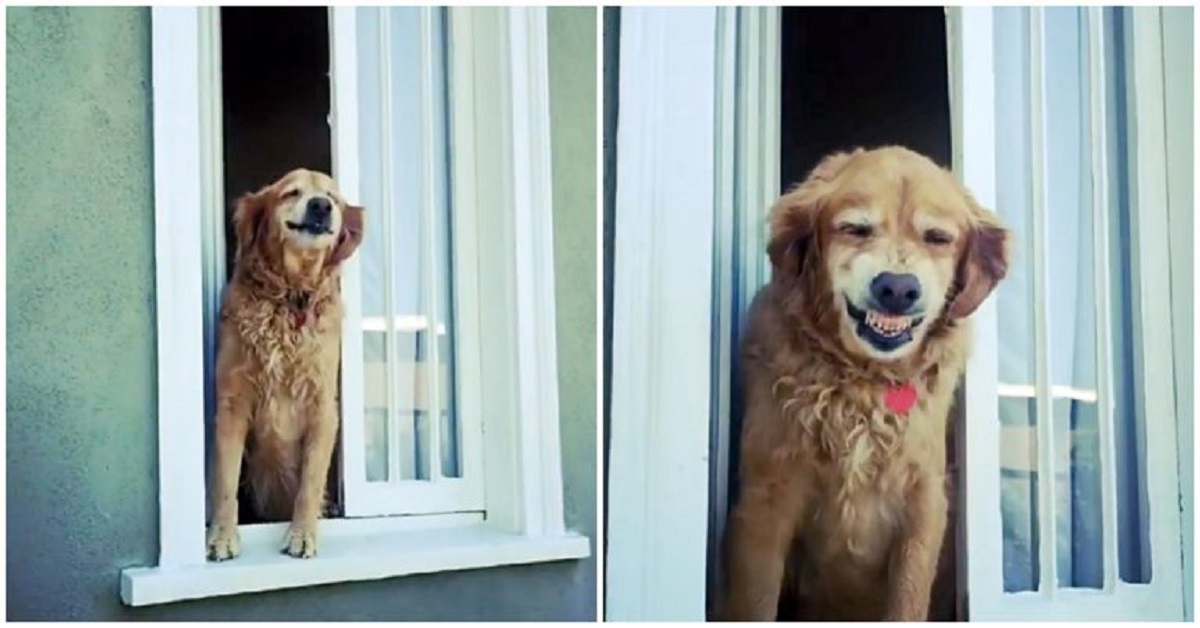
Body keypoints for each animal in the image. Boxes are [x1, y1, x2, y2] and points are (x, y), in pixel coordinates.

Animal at [204, 168, 362, 559]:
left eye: (332, 197)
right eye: (291, 192)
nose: (320, 206)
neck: (292, 294)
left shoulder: (323, 407)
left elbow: (310, 481)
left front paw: (302, 535)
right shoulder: (232, 403)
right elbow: (225, 481)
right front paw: (223, 536)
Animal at [720, 148, 1012, 624]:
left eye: (937, 237)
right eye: (855, 229)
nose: (897, 288)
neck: (865, 380)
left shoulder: (924, 504)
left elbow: (908, 602)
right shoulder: (766, 499)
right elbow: (754, 604)